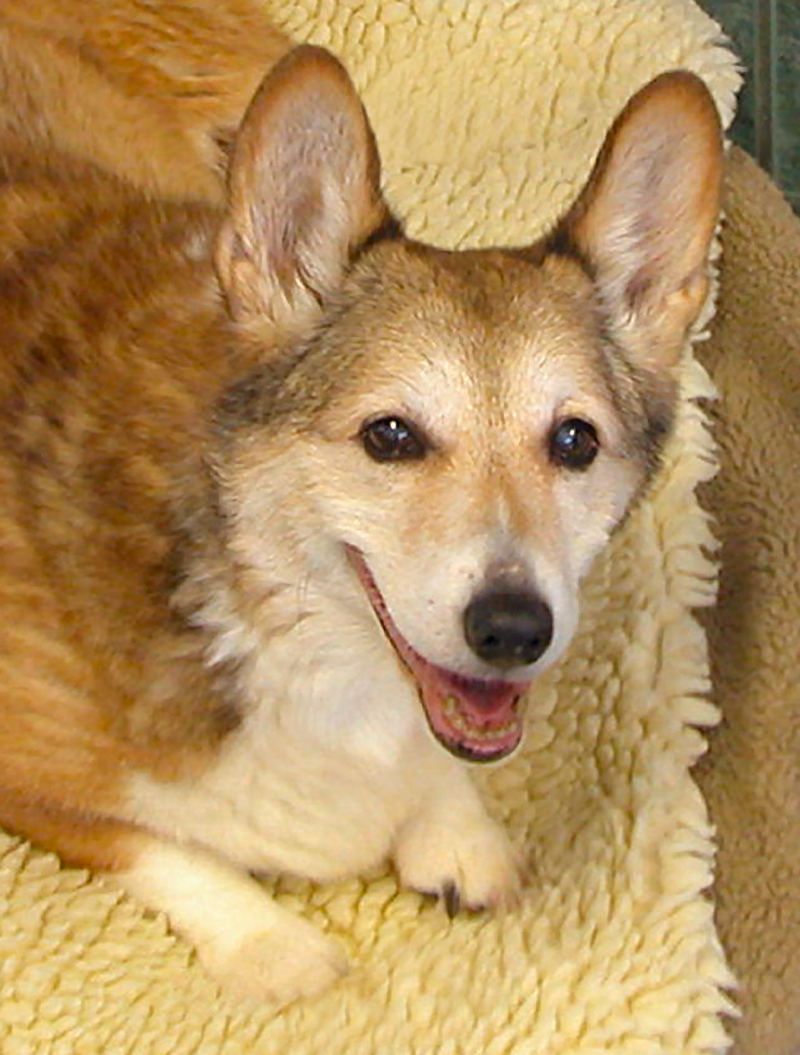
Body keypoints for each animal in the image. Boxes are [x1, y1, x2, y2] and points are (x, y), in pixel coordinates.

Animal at [0, 0, 726, 1004]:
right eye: (390, 436)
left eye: (574, 441)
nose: (513, 630)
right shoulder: (29, 778)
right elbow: (160, 845)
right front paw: (273, 946)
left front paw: (458, 833)